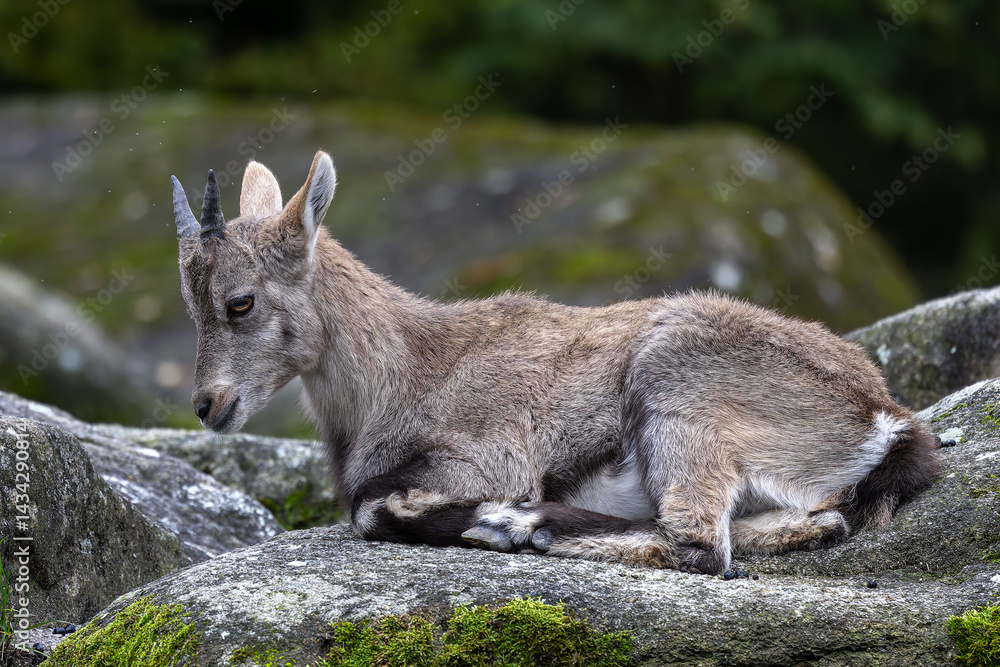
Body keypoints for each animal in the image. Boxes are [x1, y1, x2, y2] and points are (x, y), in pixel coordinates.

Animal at [170, 150, 940, 574]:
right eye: (190, 302)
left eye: (239, 301)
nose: (207, 405)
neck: (400, 373)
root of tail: (883, 416)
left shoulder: (486, 457)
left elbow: (373, 506)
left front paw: (495, 515)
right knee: (810, 521)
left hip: (675, 391)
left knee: (697, 546)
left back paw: (523, 525)